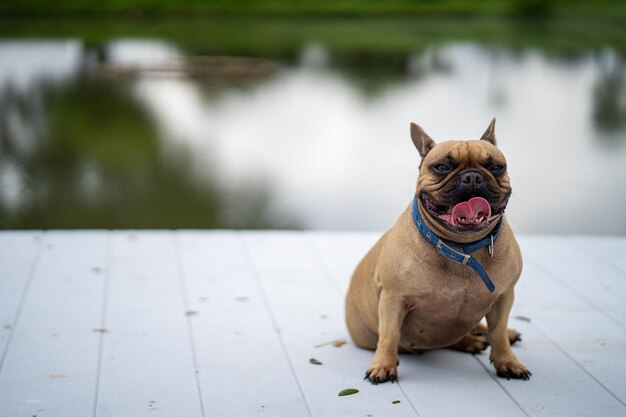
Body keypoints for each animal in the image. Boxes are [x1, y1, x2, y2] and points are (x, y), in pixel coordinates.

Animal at [344, 118, 528, 382]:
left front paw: (508, 361)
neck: (462, 248)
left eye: (496, 167)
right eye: (441, 167)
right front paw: (382, 366)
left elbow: (499, 333)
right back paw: (471, 341)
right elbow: (389, 335)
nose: (472, 177)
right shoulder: (393, 299)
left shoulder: (504, 297)